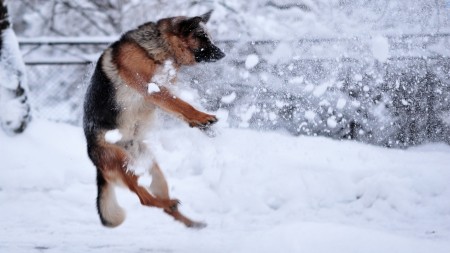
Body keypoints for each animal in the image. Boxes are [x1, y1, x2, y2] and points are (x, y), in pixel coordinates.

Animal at [83, 10, 224, 228]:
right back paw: (168, 204)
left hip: (154, 171)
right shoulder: (152, 90)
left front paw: (201, 125)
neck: (157, 49)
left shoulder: (159, 94)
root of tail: (94, 160)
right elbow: (182, 105)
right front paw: (203, 117)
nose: (222, 54)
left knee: (162, 205)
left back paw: (190, 222)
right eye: (203, 37)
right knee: (144, 199)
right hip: (124, 163)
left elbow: (178, 108)